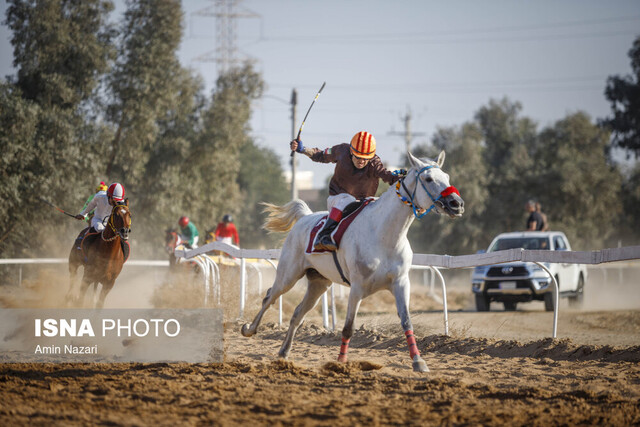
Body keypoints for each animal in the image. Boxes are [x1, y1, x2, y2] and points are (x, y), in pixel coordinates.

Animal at [242, 152, 462, 372]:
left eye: (447, 176)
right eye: (428, 179)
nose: (457, 203)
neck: (383, 235)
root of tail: (305, 218)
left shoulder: (400, 283)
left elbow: (407, 322)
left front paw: (418, 361)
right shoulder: (357, 287)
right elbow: (348, 327)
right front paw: (340, 362)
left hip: (319, 283)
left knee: (297, 313)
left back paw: (284, 351)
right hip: (288, 274)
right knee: (270, 297)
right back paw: (249, 329)